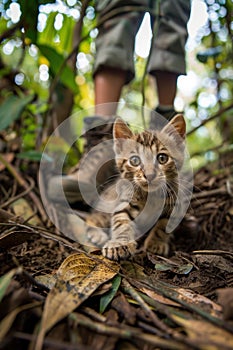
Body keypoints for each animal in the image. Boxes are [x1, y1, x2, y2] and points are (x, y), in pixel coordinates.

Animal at [86, 115, 187, 260]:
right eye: (135, 160)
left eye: (162, 158)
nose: (149, 175)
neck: (151, 195)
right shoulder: (124, 203)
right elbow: (121, 222)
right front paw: (120, 243)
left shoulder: (175, 206)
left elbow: (163, 226)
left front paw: (156, 243)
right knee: (92, 217)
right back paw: (97, 234)